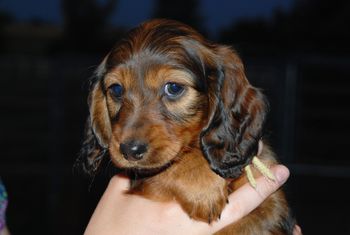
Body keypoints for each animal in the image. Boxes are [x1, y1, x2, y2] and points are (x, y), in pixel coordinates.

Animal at [78, 19, 296, 234]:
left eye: (174, 88)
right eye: (116, 89)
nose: (130, 151)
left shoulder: (270, 204)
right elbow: (164, 169)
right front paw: (202, 185)